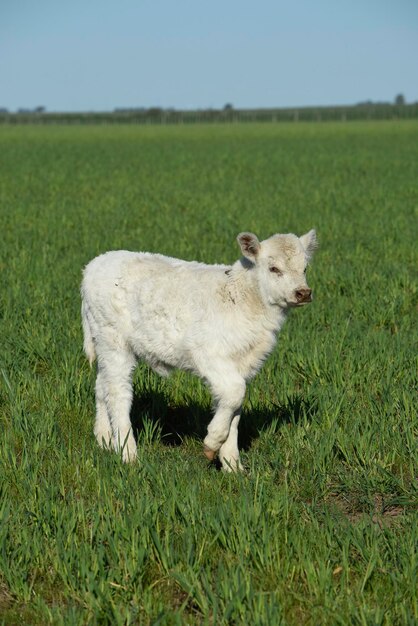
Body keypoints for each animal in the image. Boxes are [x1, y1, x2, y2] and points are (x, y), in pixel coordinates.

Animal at [81, 229, 316, 468]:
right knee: (118, 392)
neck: (242, 296)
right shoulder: (207, 353)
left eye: (305, 268)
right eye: (274, 268)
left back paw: (104, 438)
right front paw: (213, 442)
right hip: (113, 340)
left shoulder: (242, 364)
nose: (303, 293)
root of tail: (95, 265)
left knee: (102, 385)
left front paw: (232, 464)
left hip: (105, 343)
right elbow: (235, 392)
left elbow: (234, 407)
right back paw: (128, 453)